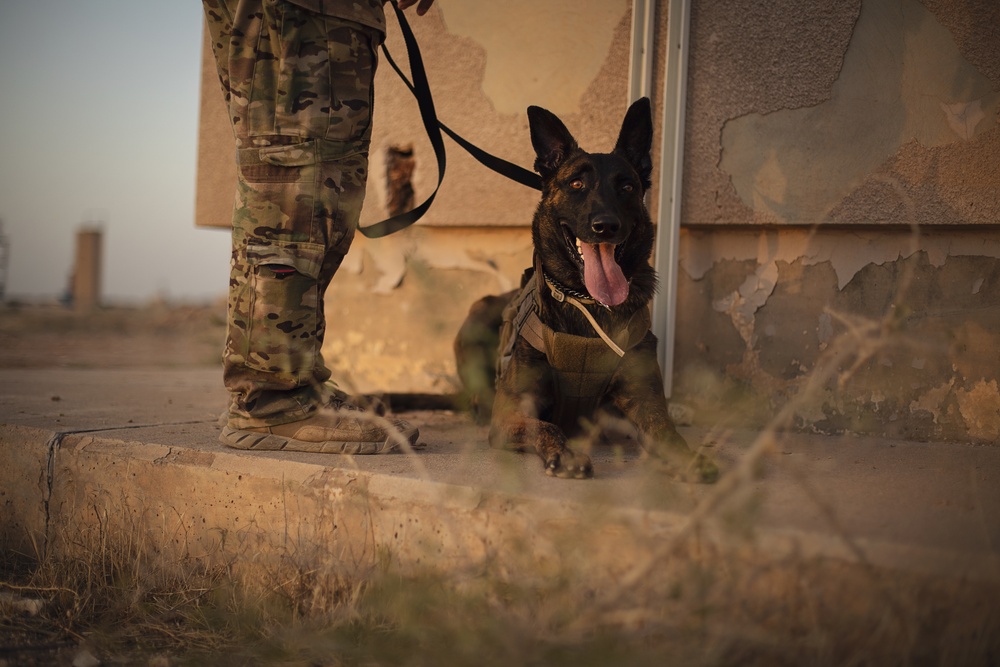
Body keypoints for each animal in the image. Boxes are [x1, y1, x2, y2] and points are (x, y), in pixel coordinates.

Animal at [454, 96, 720, 482]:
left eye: (627, 187)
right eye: (576, 184)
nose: (605, 226)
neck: (588, 304)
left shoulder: (645, 403)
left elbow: (666, 431)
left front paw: (689, 459)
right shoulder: (508, 416)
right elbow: (547, 426)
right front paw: (565, 455)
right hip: (476, 316)